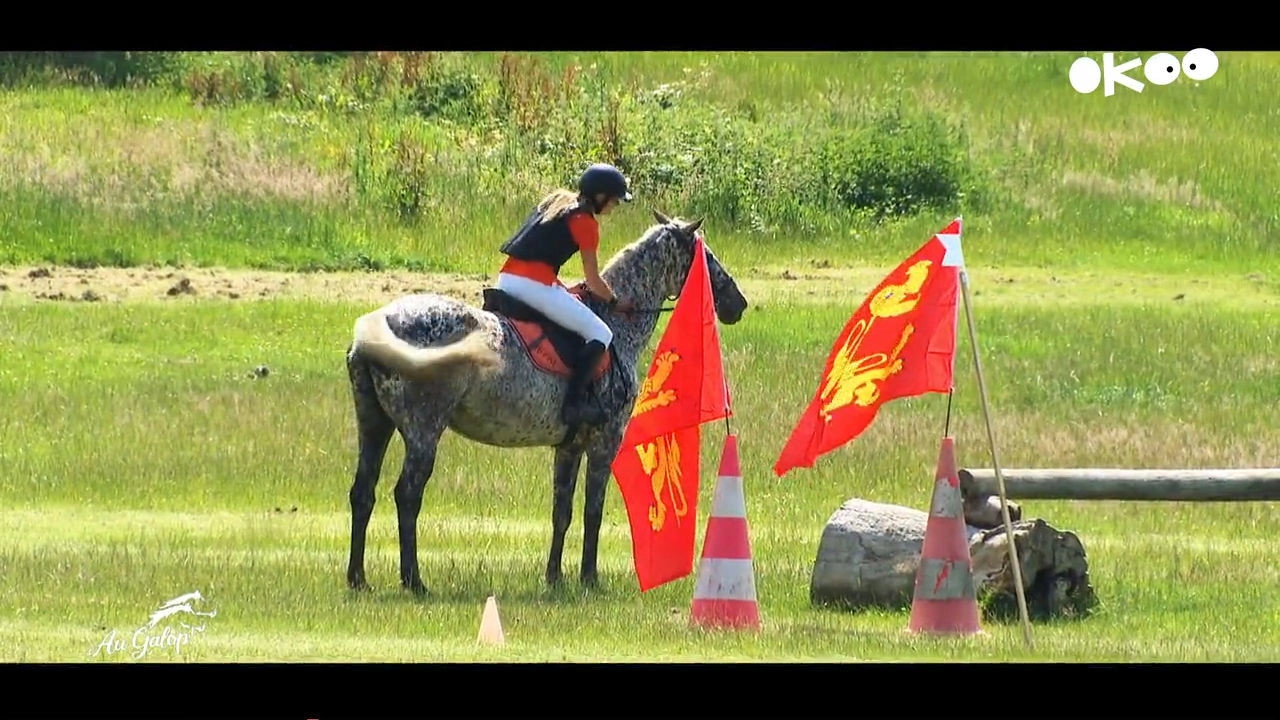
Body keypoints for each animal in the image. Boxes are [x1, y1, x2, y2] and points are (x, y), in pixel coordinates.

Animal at [343, 209, 750, 595]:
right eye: (706, 256)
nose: (739, 304)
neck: (618, 323)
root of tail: (374, 329)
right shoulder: (606, 441)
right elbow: (593, 510)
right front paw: (589, 578)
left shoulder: (569, 446)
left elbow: (562, 511)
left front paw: (554, 577)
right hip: (423, 432)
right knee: (407, 495)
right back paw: (414, 581)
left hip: (375, 424)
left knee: (363, 492)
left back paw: (358, 579)